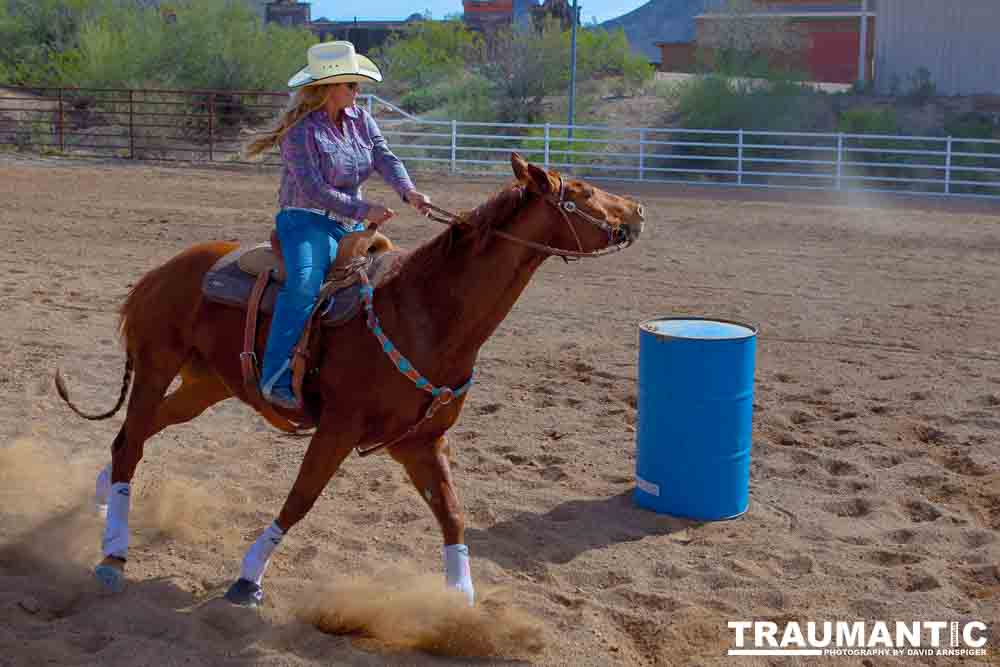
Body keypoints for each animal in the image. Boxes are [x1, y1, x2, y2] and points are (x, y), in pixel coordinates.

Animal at [56, 154, 648, 608]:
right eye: (584, 192)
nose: (639, 209)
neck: (425, 312)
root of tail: (158, 275)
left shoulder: (421, 442)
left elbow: (453, 515)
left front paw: (460, 600)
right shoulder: (337, 428)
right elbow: (300, 499)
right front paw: (248, 577)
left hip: (206, 386)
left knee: (134, 436)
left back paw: (103, 500)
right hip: (157, 367)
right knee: (133, 442)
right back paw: (113, 554)